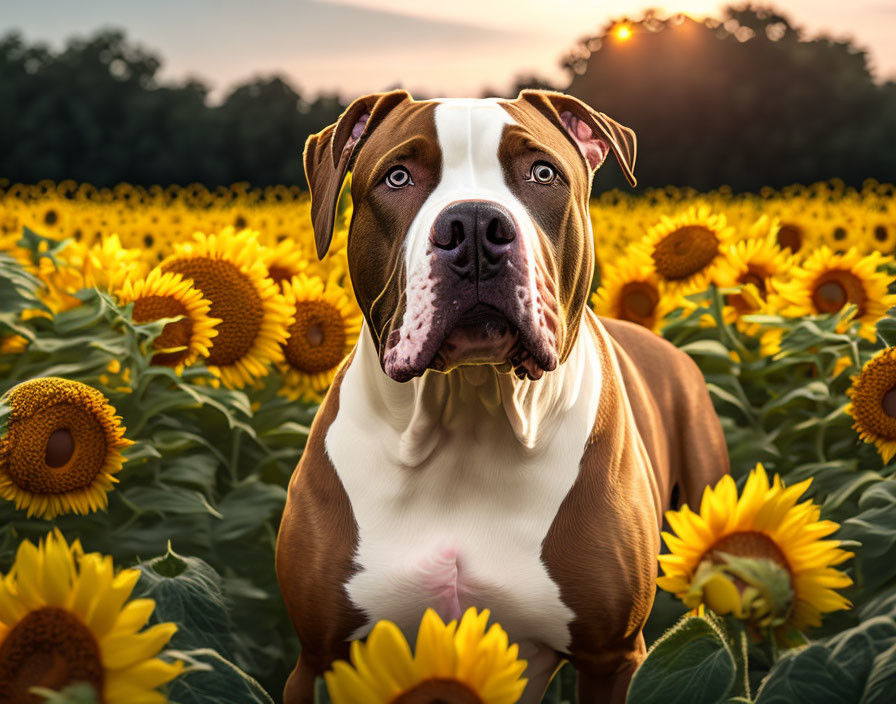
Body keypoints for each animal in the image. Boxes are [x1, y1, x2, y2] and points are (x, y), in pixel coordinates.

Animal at [276, 89, 732, 704]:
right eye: (397, 176)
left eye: (542, 172)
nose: (473, 224)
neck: (470, 412)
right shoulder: (316, 658)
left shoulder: (612, 657)